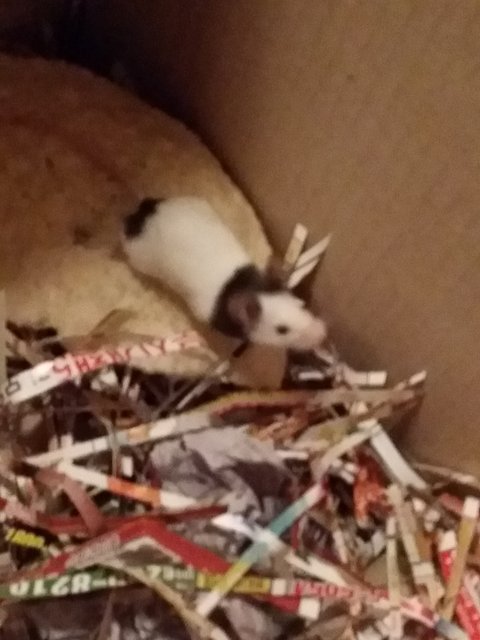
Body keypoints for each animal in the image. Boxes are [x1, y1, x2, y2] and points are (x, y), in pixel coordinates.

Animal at [121, 196, 327, 350]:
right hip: (140, 257)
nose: (322, 334)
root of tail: (145, 214)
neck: (242, 287)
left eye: (300, 304)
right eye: (282, 330)